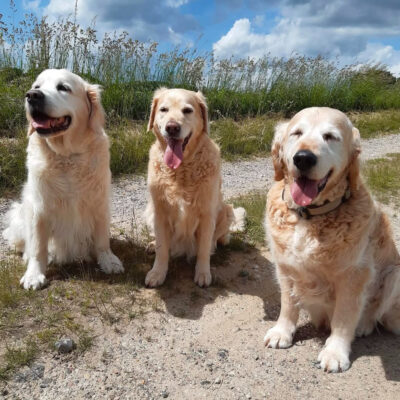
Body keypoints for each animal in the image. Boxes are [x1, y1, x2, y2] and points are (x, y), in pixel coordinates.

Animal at [1, 68, 123, 288]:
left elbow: (102, 239)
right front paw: (34, 274)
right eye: (37, 86)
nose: (32, 95)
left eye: (63, 88)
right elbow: (38, 246)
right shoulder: (39, 208)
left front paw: (108, 260)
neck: (66, 156)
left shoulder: (99, 203)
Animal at [145, 87, 245, 288]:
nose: (172, 128)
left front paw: (203, 273)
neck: (182, 168)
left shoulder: (207, 214)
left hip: (226, 210)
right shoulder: (160, 212)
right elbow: (162, 248)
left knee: (220, 236)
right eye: (164, 109)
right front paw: (157, 272)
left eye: (187, 110)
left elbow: (204, 249)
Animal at [264, 106, 398, 372]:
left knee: (375, 313)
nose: (303, 158)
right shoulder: (285, 267)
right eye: (296, 133)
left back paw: (364, 326)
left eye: (330, 137)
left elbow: (344, 318)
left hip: (395, 275)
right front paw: (282, 332)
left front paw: (335, 352)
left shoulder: (354, 275)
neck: (308, 216)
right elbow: (288, 304)